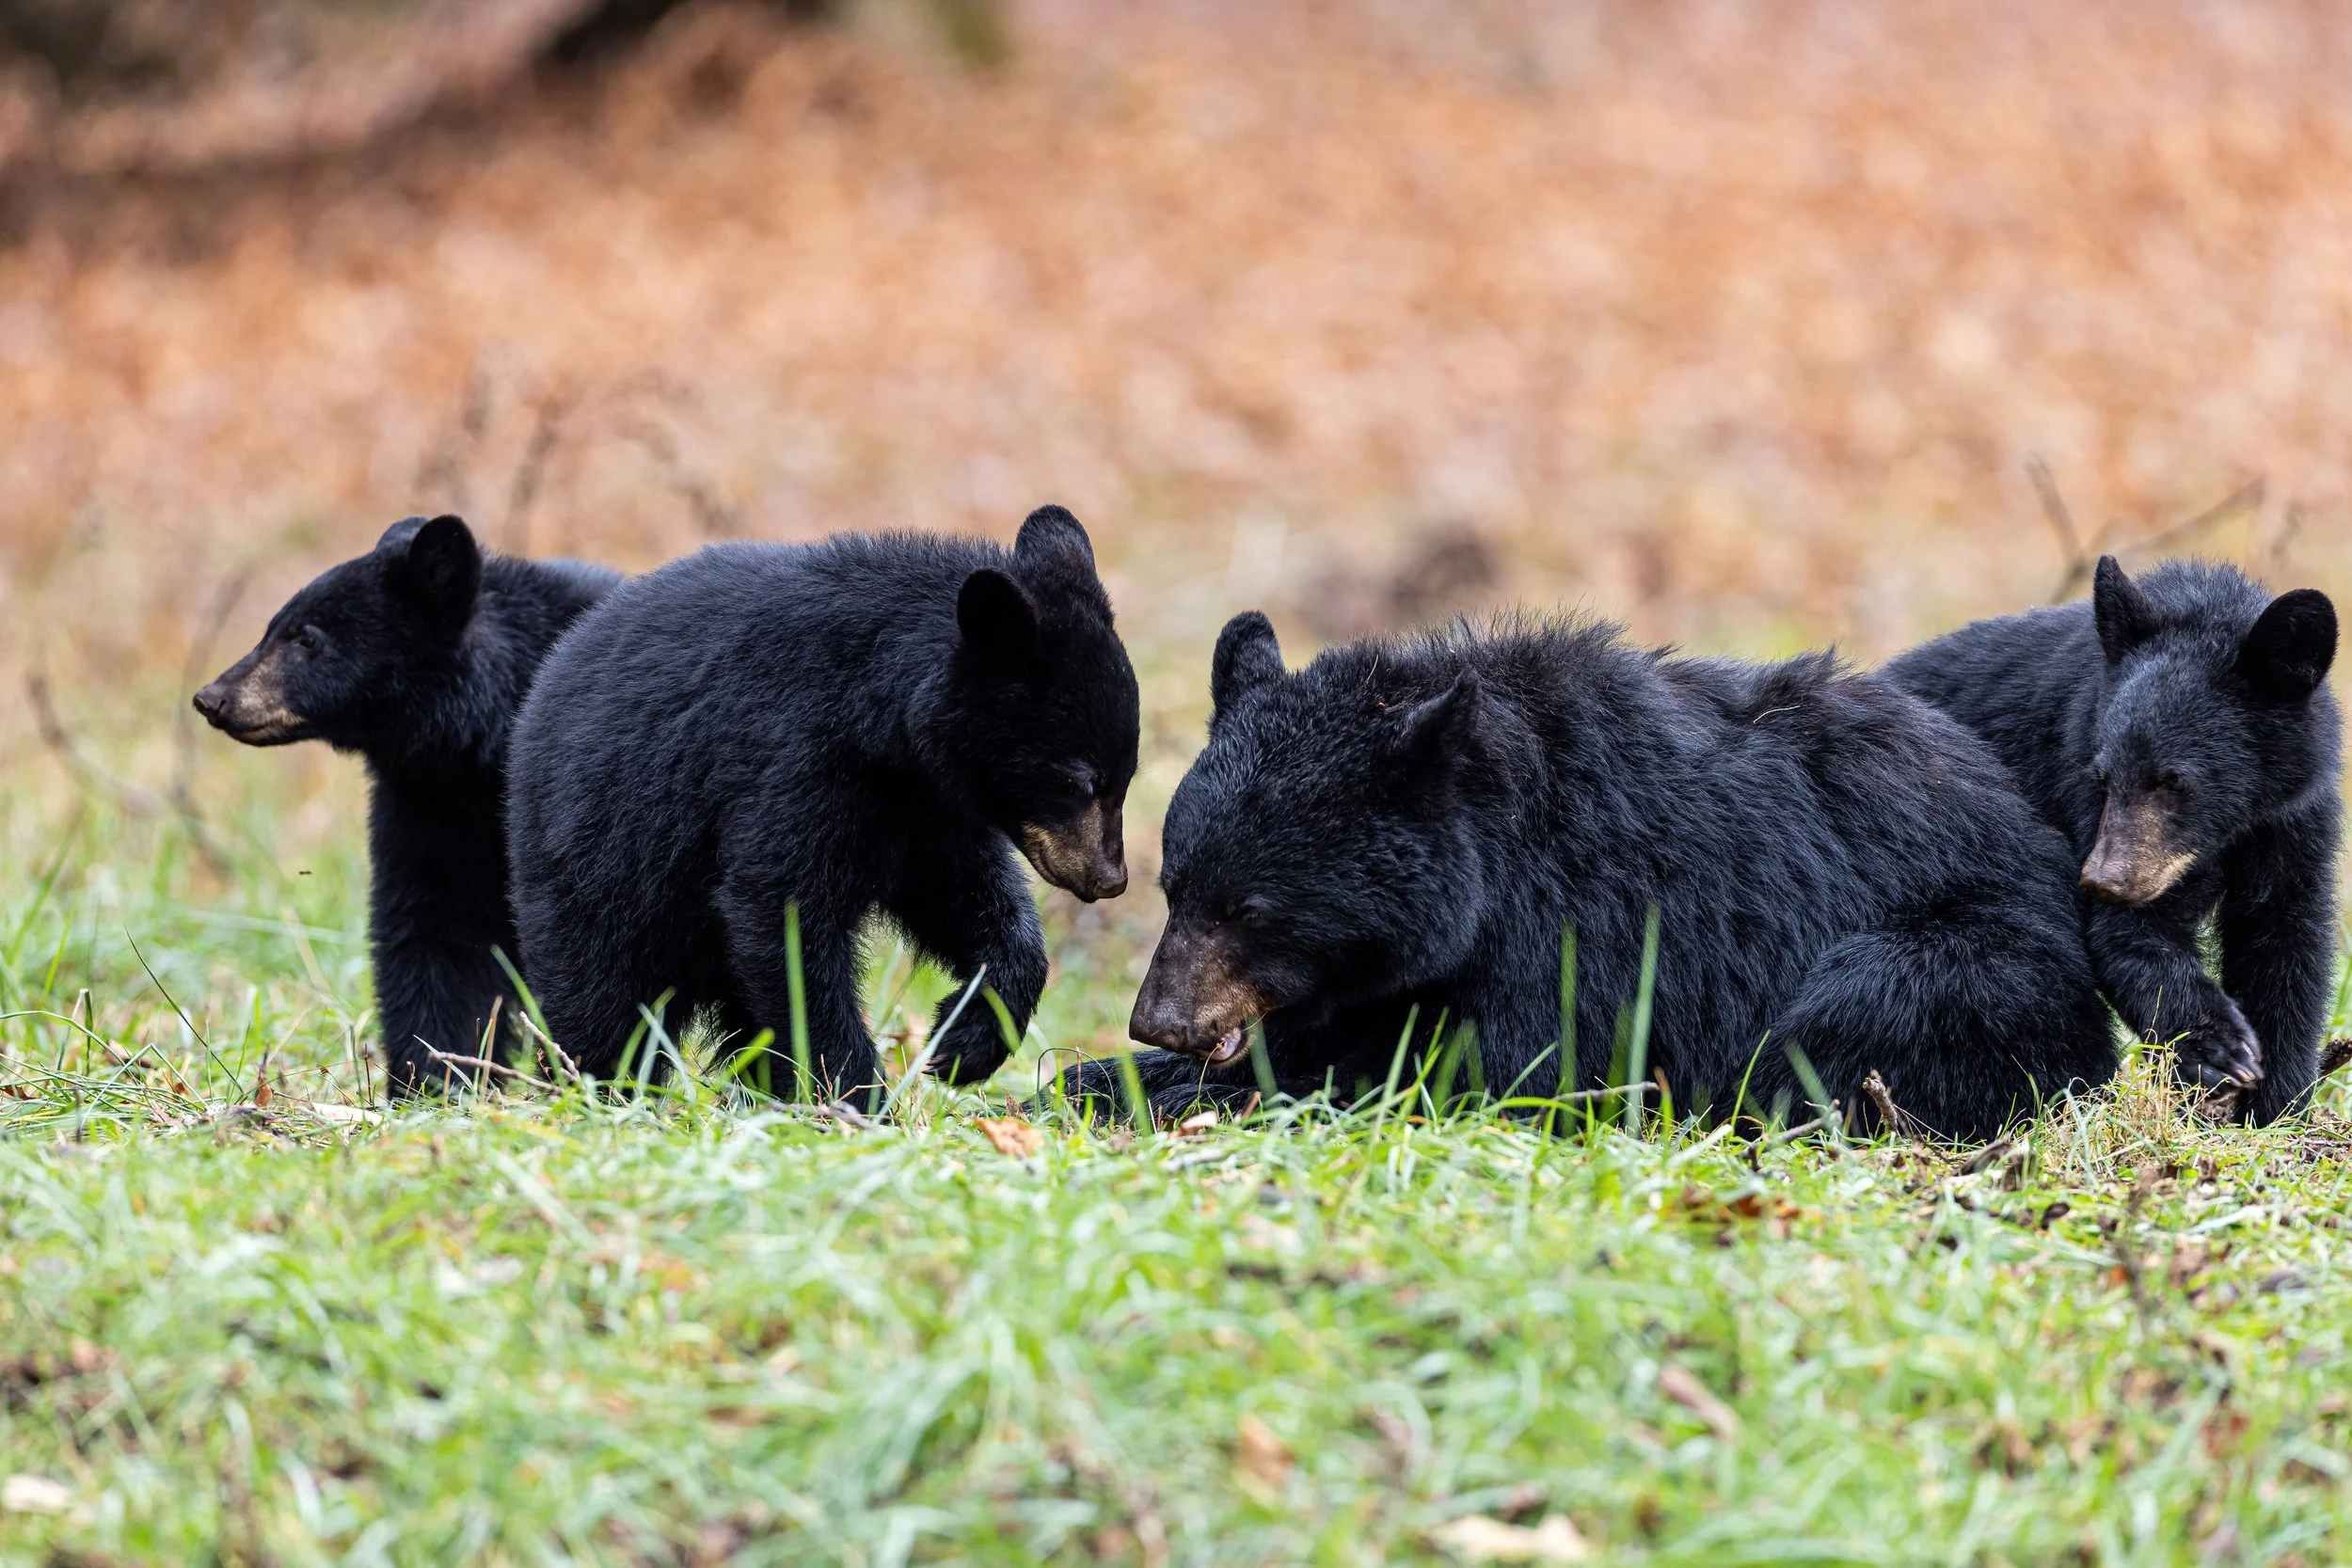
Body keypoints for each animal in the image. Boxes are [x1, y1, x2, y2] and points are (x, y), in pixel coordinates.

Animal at [193, 515, 621, 1093]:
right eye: (272, 627)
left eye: (307, 637)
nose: (212, 698)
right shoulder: (429, 803)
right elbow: (437, 928)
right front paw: (435, 1079)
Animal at [503, 505, 1140, 1102]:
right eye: (1082, 780)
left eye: (1125, 776)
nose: (1110, 878)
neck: (886, 727)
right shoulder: (796, 760)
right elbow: (784, 912)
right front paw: (857, 1093)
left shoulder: (925, 809)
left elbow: (968, 895)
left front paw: (965, 1043)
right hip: (599, 868)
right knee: (602, 998)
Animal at [1067, 612, 2119, 1141]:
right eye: (1175, 888)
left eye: (1252, 907)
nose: (1160, 1019)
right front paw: (1096, 1073)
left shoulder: (1593, 921)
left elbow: (1495, 1067)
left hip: (1969, 963)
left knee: (1854, 1007)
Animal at [1884, 556, 2341, 1124]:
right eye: (2105, 777)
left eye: (2174, 781)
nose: (2103, 881)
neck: (2233, 827)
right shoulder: (2081, 772)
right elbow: (2128, 936)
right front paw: (2221, 1051)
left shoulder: (2293, 819)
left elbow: (2284, 938)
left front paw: (2276, 1105)